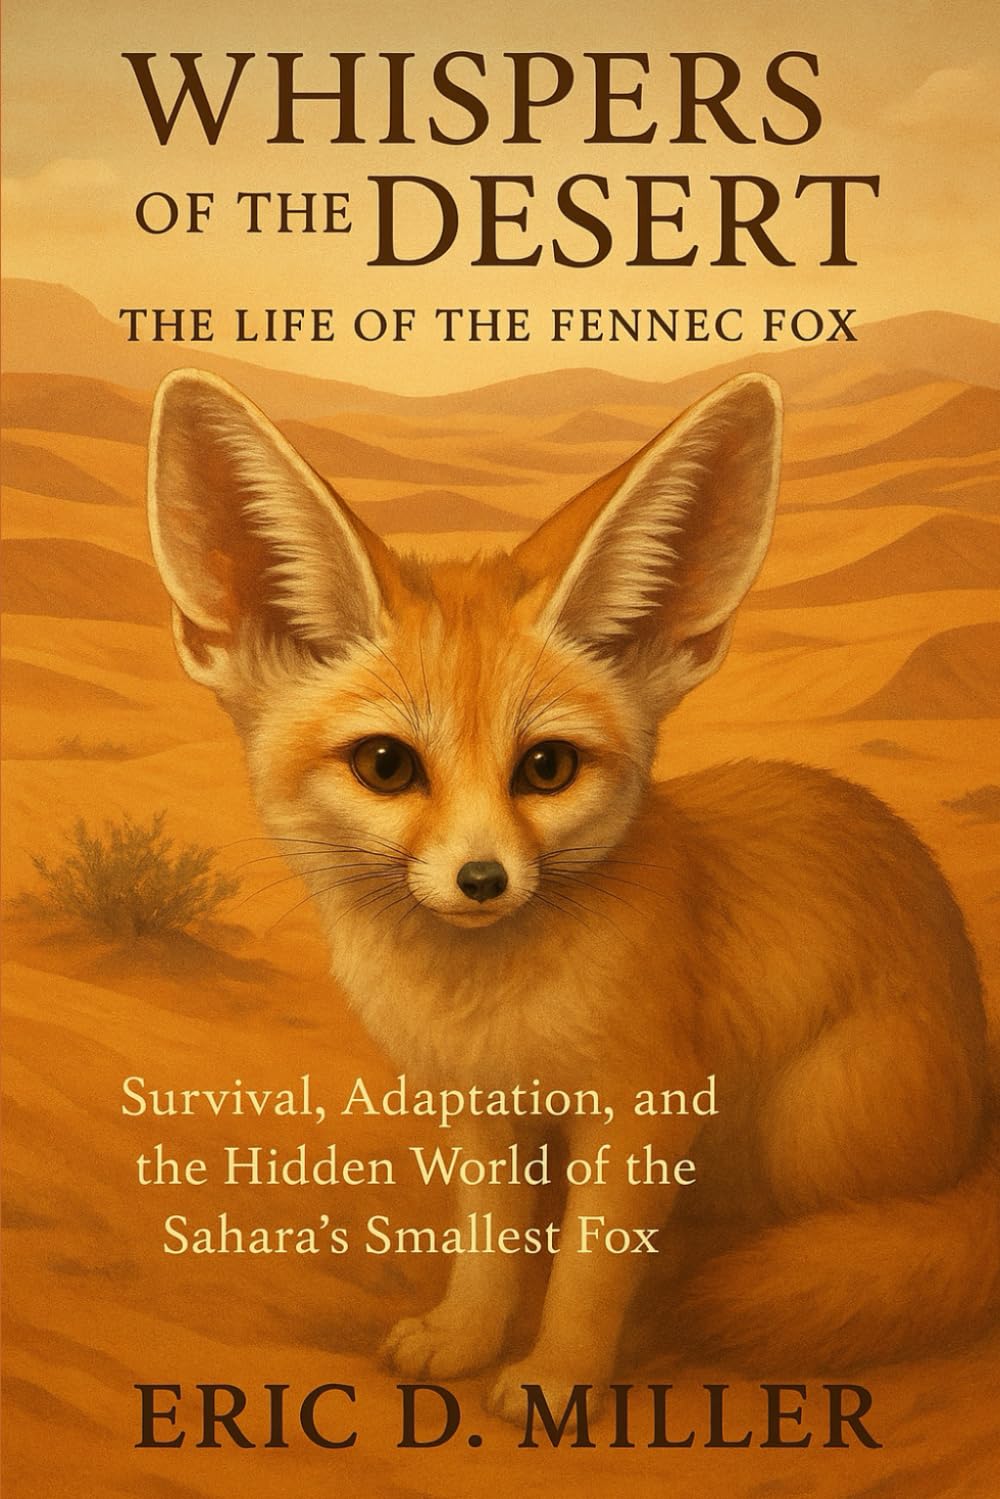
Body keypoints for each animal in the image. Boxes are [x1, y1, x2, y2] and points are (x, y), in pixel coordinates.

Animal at [147, 367, 998, 1423]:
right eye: (387, 765)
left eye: (546, 767)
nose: (483, 878)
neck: (490, 1005)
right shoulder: (478, 1109)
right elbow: (489, 1248)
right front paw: (467, 1338)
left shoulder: (644, 1108)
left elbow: (590, 1267)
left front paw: (557, 1375)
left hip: (812, 1129)